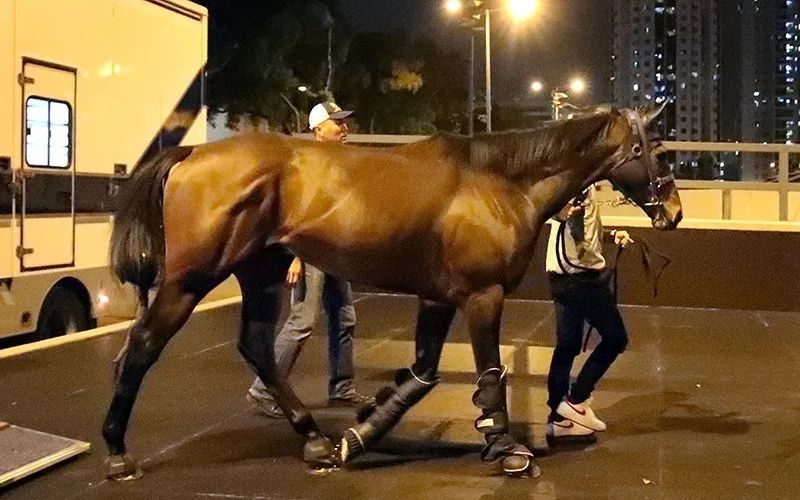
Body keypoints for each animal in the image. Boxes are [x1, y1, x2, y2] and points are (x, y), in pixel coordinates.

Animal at [101, 104, 680, 480]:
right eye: (657, 149)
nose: (672, 211)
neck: (499, 180)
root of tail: (190, 153)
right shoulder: (481, 295)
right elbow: (489, 372)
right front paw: (505, 446)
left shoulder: (438, 298)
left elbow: (421, 375)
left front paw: (358, 435)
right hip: (189, 280)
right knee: (142, 346)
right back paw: (116, 450)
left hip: (260, 272)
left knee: (257, 346)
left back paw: (315, 439)